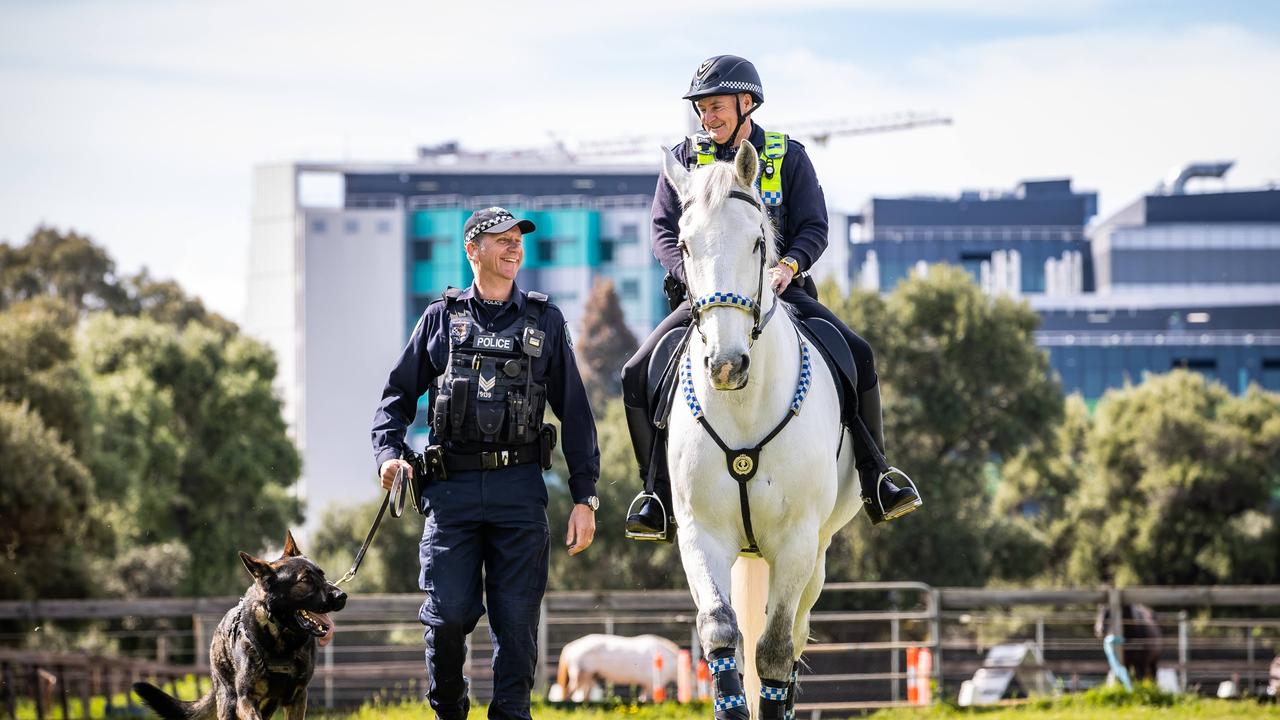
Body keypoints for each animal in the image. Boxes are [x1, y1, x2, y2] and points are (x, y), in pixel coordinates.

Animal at [132, 527, 348, 717]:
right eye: (305, 580)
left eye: (322, 574)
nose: (342, 596)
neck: (280, 640)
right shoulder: (246, 700)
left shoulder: (297, 698)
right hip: (229, 701)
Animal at [660, 141, 860, 717]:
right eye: (684, 245)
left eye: (757, 242)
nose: (727, 365)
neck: (743, 405)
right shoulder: (701, 533)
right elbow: (721, 632)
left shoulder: (797, 540)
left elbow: (774, 649)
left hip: (818, 551)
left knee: (795, 635)